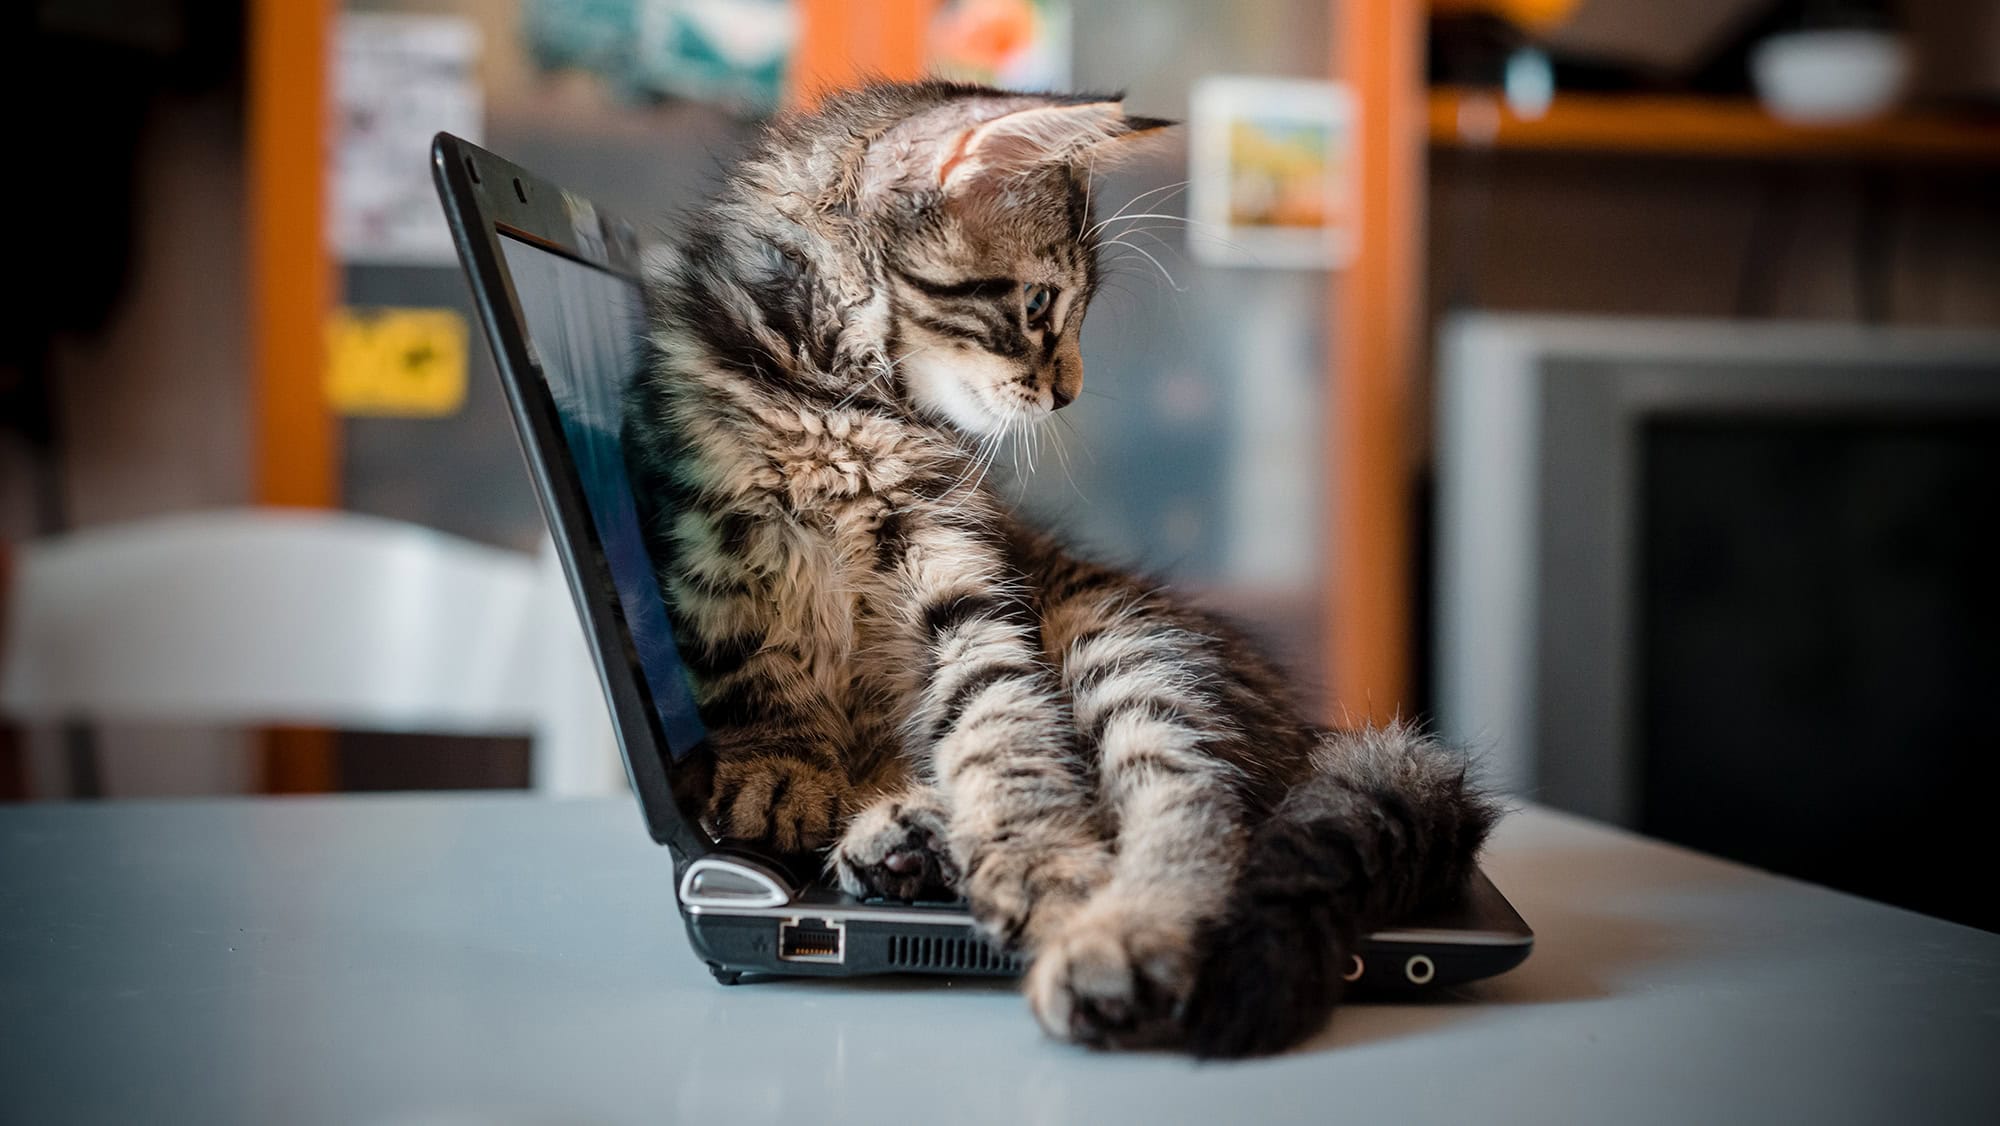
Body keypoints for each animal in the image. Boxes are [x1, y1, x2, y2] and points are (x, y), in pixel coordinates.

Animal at [628, 79, 1504, 1056]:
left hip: (1118, 643)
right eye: (1041, 303)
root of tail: (1308, 737)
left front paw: (1040, 864)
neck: (837, 404)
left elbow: (999, 725)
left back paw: (1112, 941)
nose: (1069, 392)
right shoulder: (707, 524)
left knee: (1191, 815)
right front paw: (778, 763)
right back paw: (910, 842)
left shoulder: (956, 569)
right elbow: (750, 662)